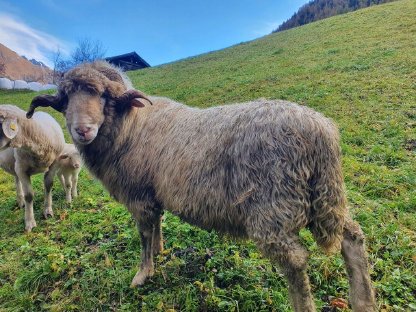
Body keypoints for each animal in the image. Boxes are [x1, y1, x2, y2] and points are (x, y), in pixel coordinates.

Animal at [27, 61, 376, 312]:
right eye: (66, 100)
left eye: (102, 96)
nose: (82, 130)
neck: (130, 124)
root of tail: (320, 132)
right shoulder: (153, 194)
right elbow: (157, 226)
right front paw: (160, 251)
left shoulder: (139, 196)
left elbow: (143, 235)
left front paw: (143, 273)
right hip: (325, 198)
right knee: (352, 237)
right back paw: (364, 302)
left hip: (274, 209)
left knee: (296, 262)